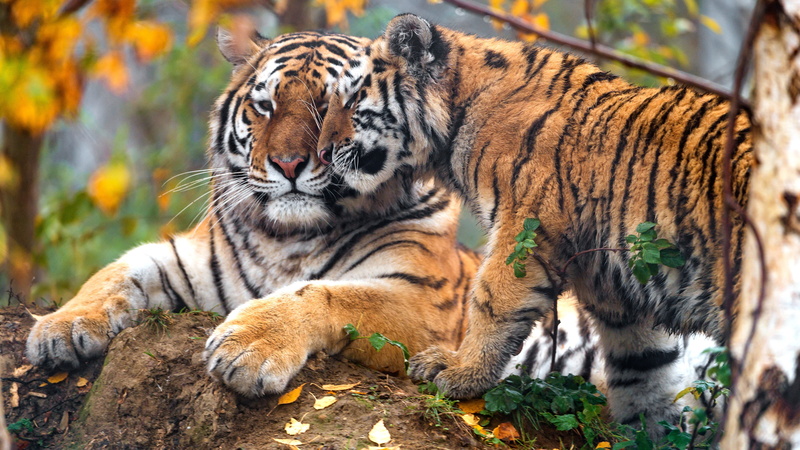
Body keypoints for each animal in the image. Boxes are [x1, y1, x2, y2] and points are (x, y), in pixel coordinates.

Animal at [315, 13, 750, 435]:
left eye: (352, 100)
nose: (321, 153)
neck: (461, 110)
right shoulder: (616, 292)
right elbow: (645, 374)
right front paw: (651, 433)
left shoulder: (526, 228)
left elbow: (491, 299)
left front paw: (459, 372)